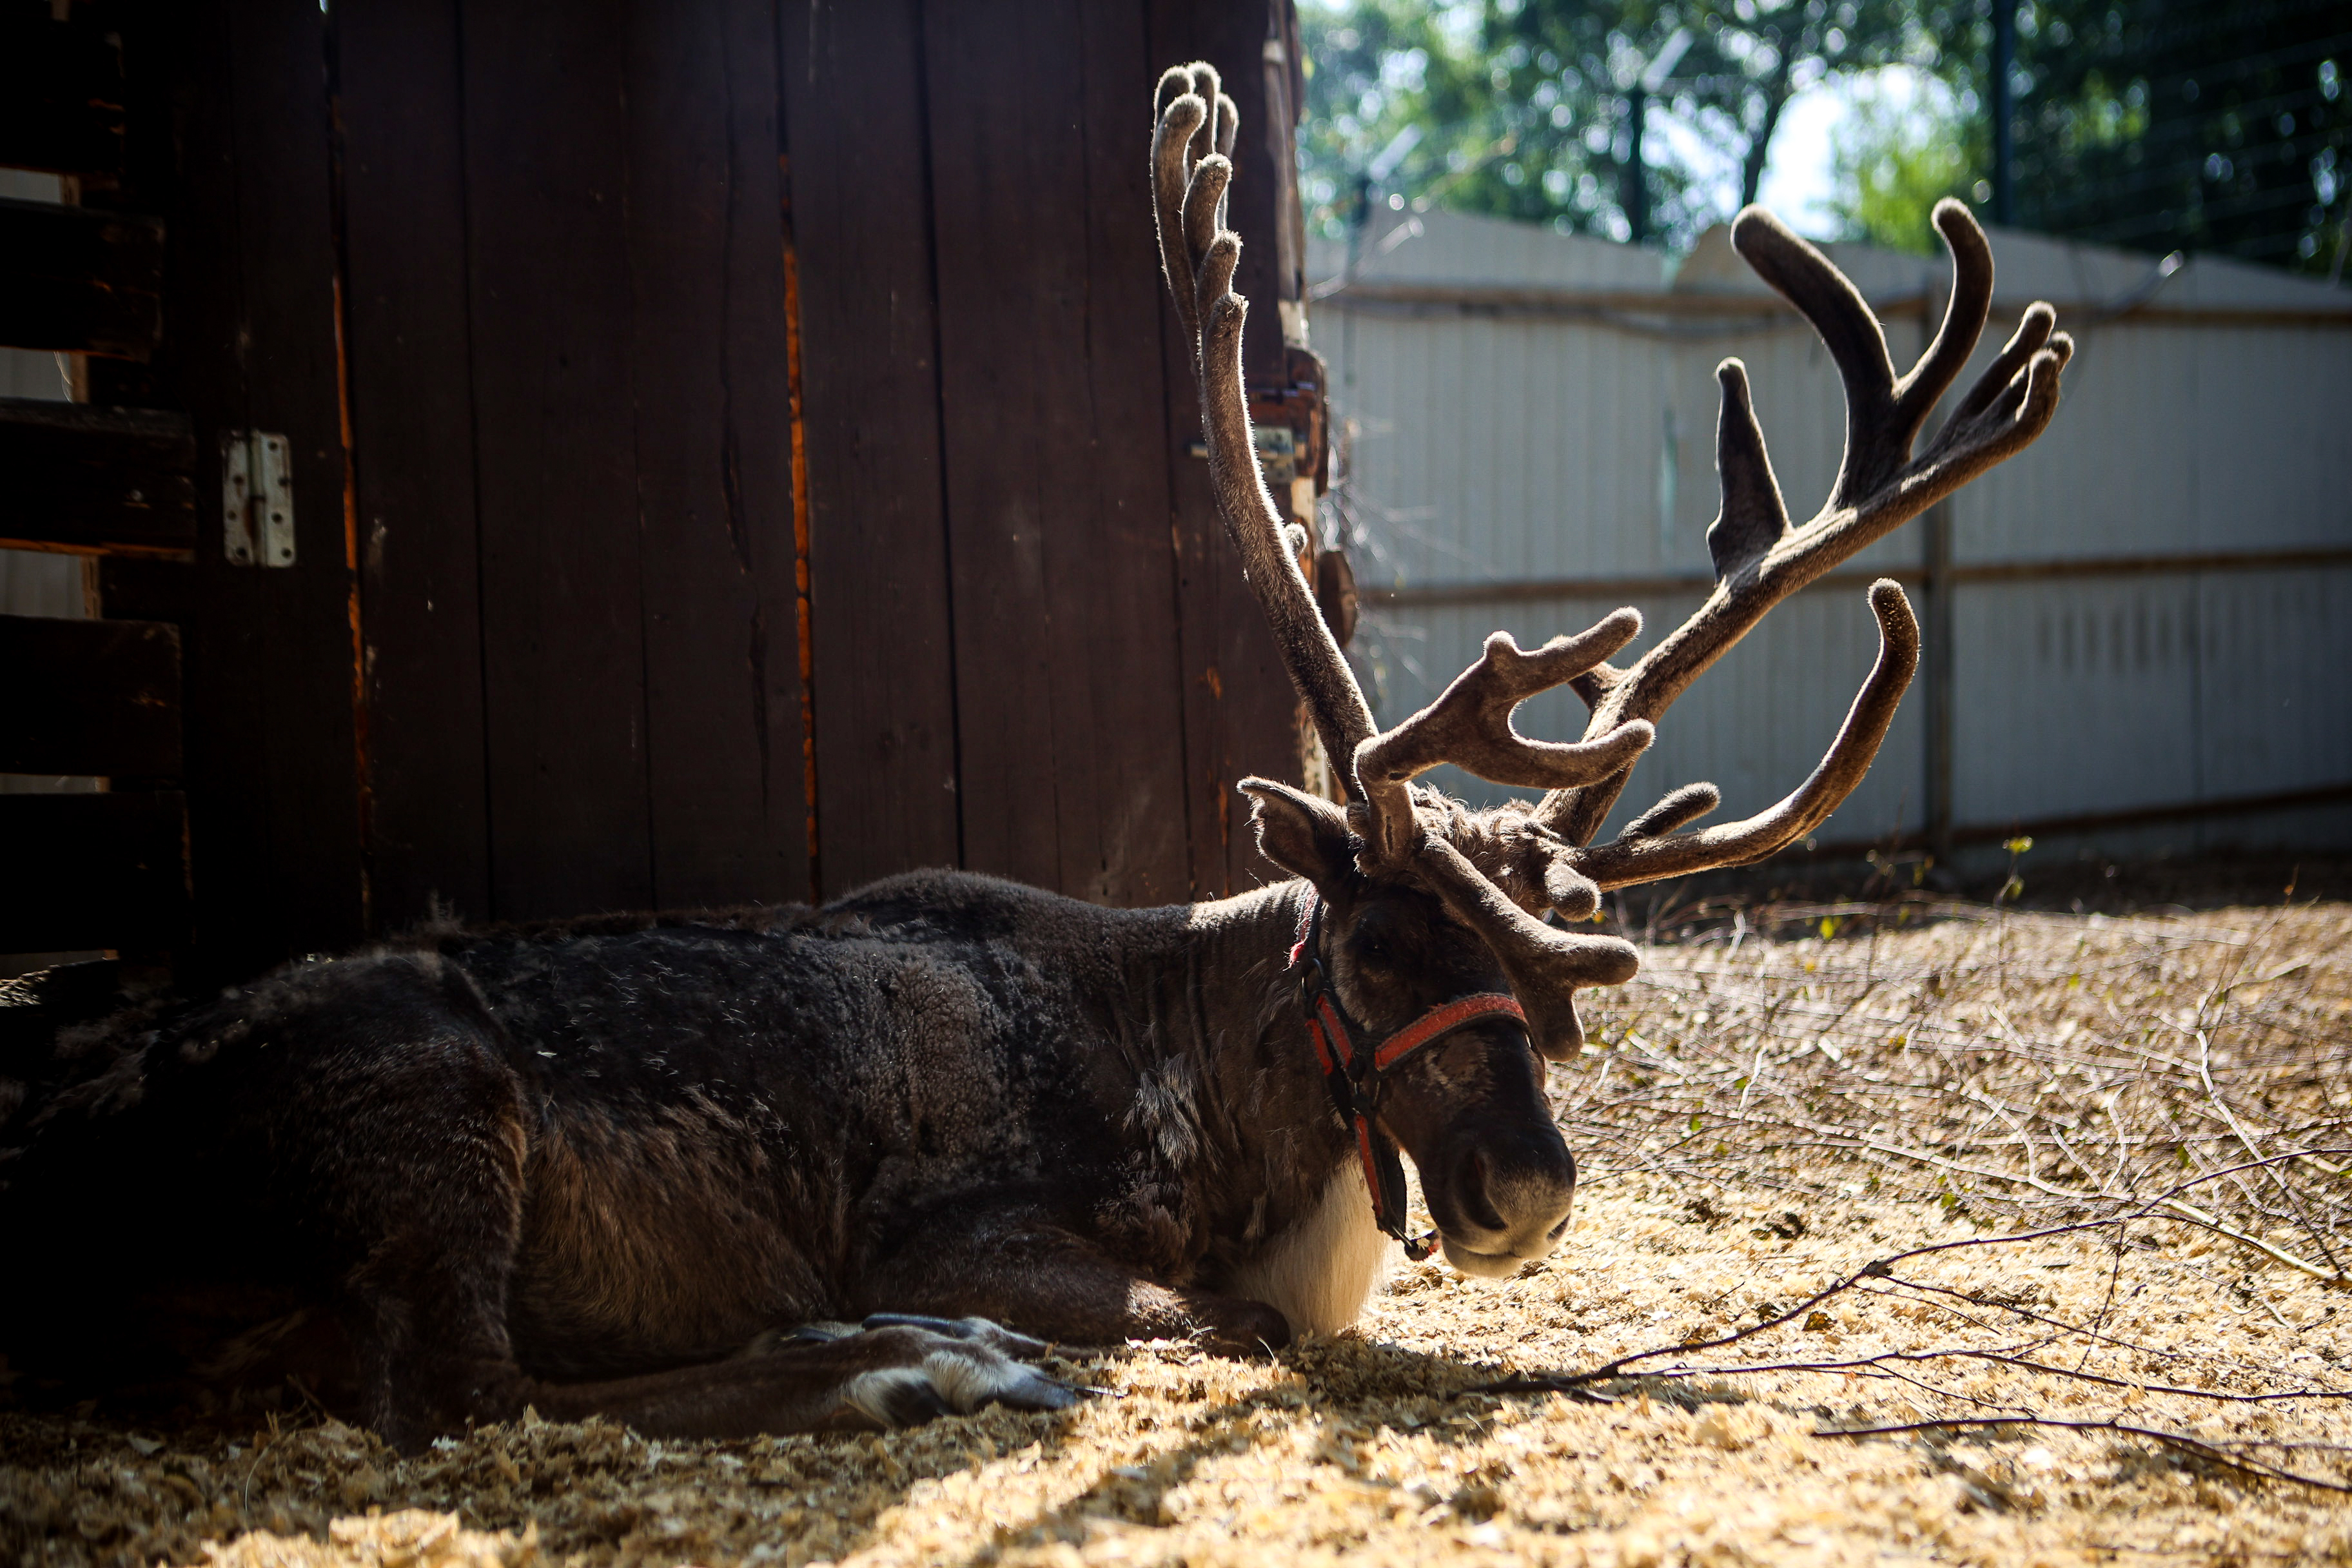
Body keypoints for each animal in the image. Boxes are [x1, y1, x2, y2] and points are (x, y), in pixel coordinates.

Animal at [0, 63, 2068, 1452]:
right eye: (1374, 945)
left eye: (1553, 990)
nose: (1529, 1194)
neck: (1228, 1093)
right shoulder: (965, 1221)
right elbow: (1230, 1322)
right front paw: (986, 1337)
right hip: (435, 1107)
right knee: (461, 1386)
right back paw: (912, 1366)